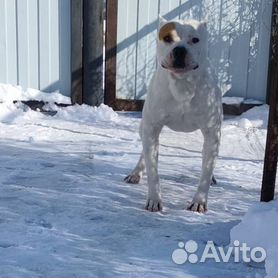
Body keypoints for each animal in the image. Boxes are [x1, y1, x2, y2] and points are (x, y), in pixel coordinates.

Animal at [125, 17, 223, 213]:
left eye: (195, 39)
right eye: (167, 38)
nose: (179, 49)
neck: (182, 84)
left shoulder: (212, 133)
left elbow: (206, 172)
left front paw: (199, 201)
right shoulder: (152, 128)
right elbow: (153, 170)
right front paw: (154, 199)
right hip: (144, 128)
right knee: (144, 152)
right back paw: (136, 172)